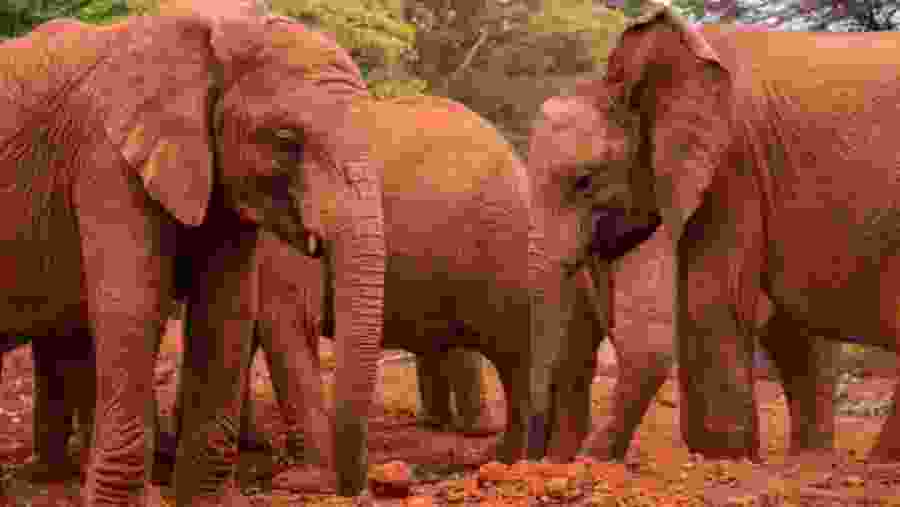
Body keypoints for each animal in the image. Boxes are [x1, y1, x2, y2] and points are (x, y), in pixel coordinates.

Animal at [0, 0, 389, 503]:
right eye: (287, 142)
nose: (352, 488)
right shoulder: (105, 158)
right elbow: (133, 305)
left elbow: (228, 309)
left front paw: (205, 498)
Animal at [527, 69, 842, 462]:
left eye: (585, 181)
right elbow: (577, 345)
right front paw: (563, 461)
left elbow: (648, 347)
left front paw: (589, 460)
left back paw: (809, 458)